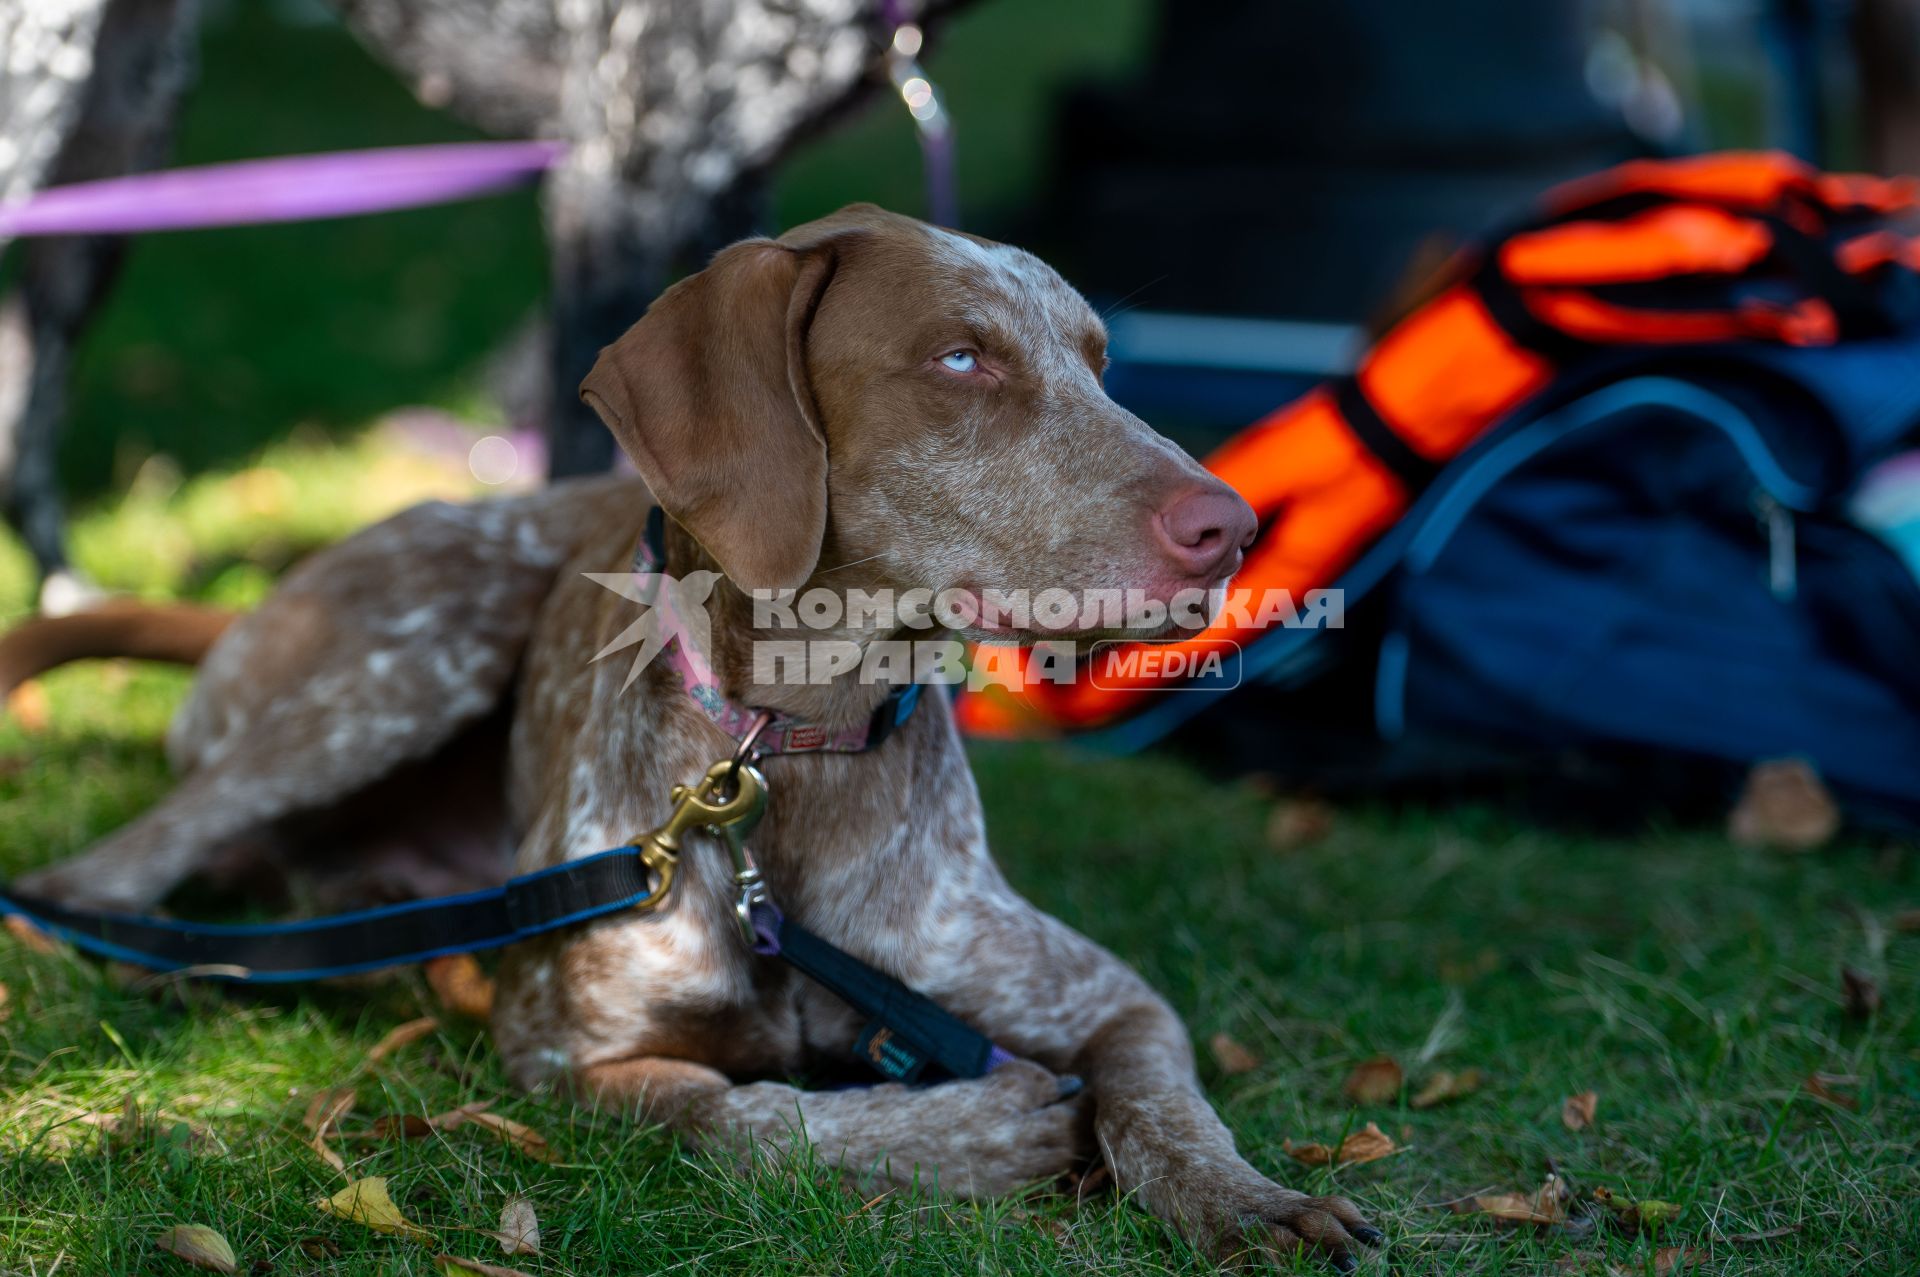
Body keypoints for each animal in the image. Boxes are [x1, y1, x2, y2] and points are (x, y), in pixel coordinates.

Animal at [3, 206, 1382, 1267]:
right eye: (960, 359)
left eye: (1098, 360)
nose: (1233, 526)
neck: (790, 751)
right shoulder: (571, 1058)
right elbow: (738, 1113)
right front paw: (979, 1128)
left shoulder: (1109, 996)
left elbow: (1165, 1105)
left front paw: (1253, 1198)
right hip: (417, 651)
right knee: (99, 874)